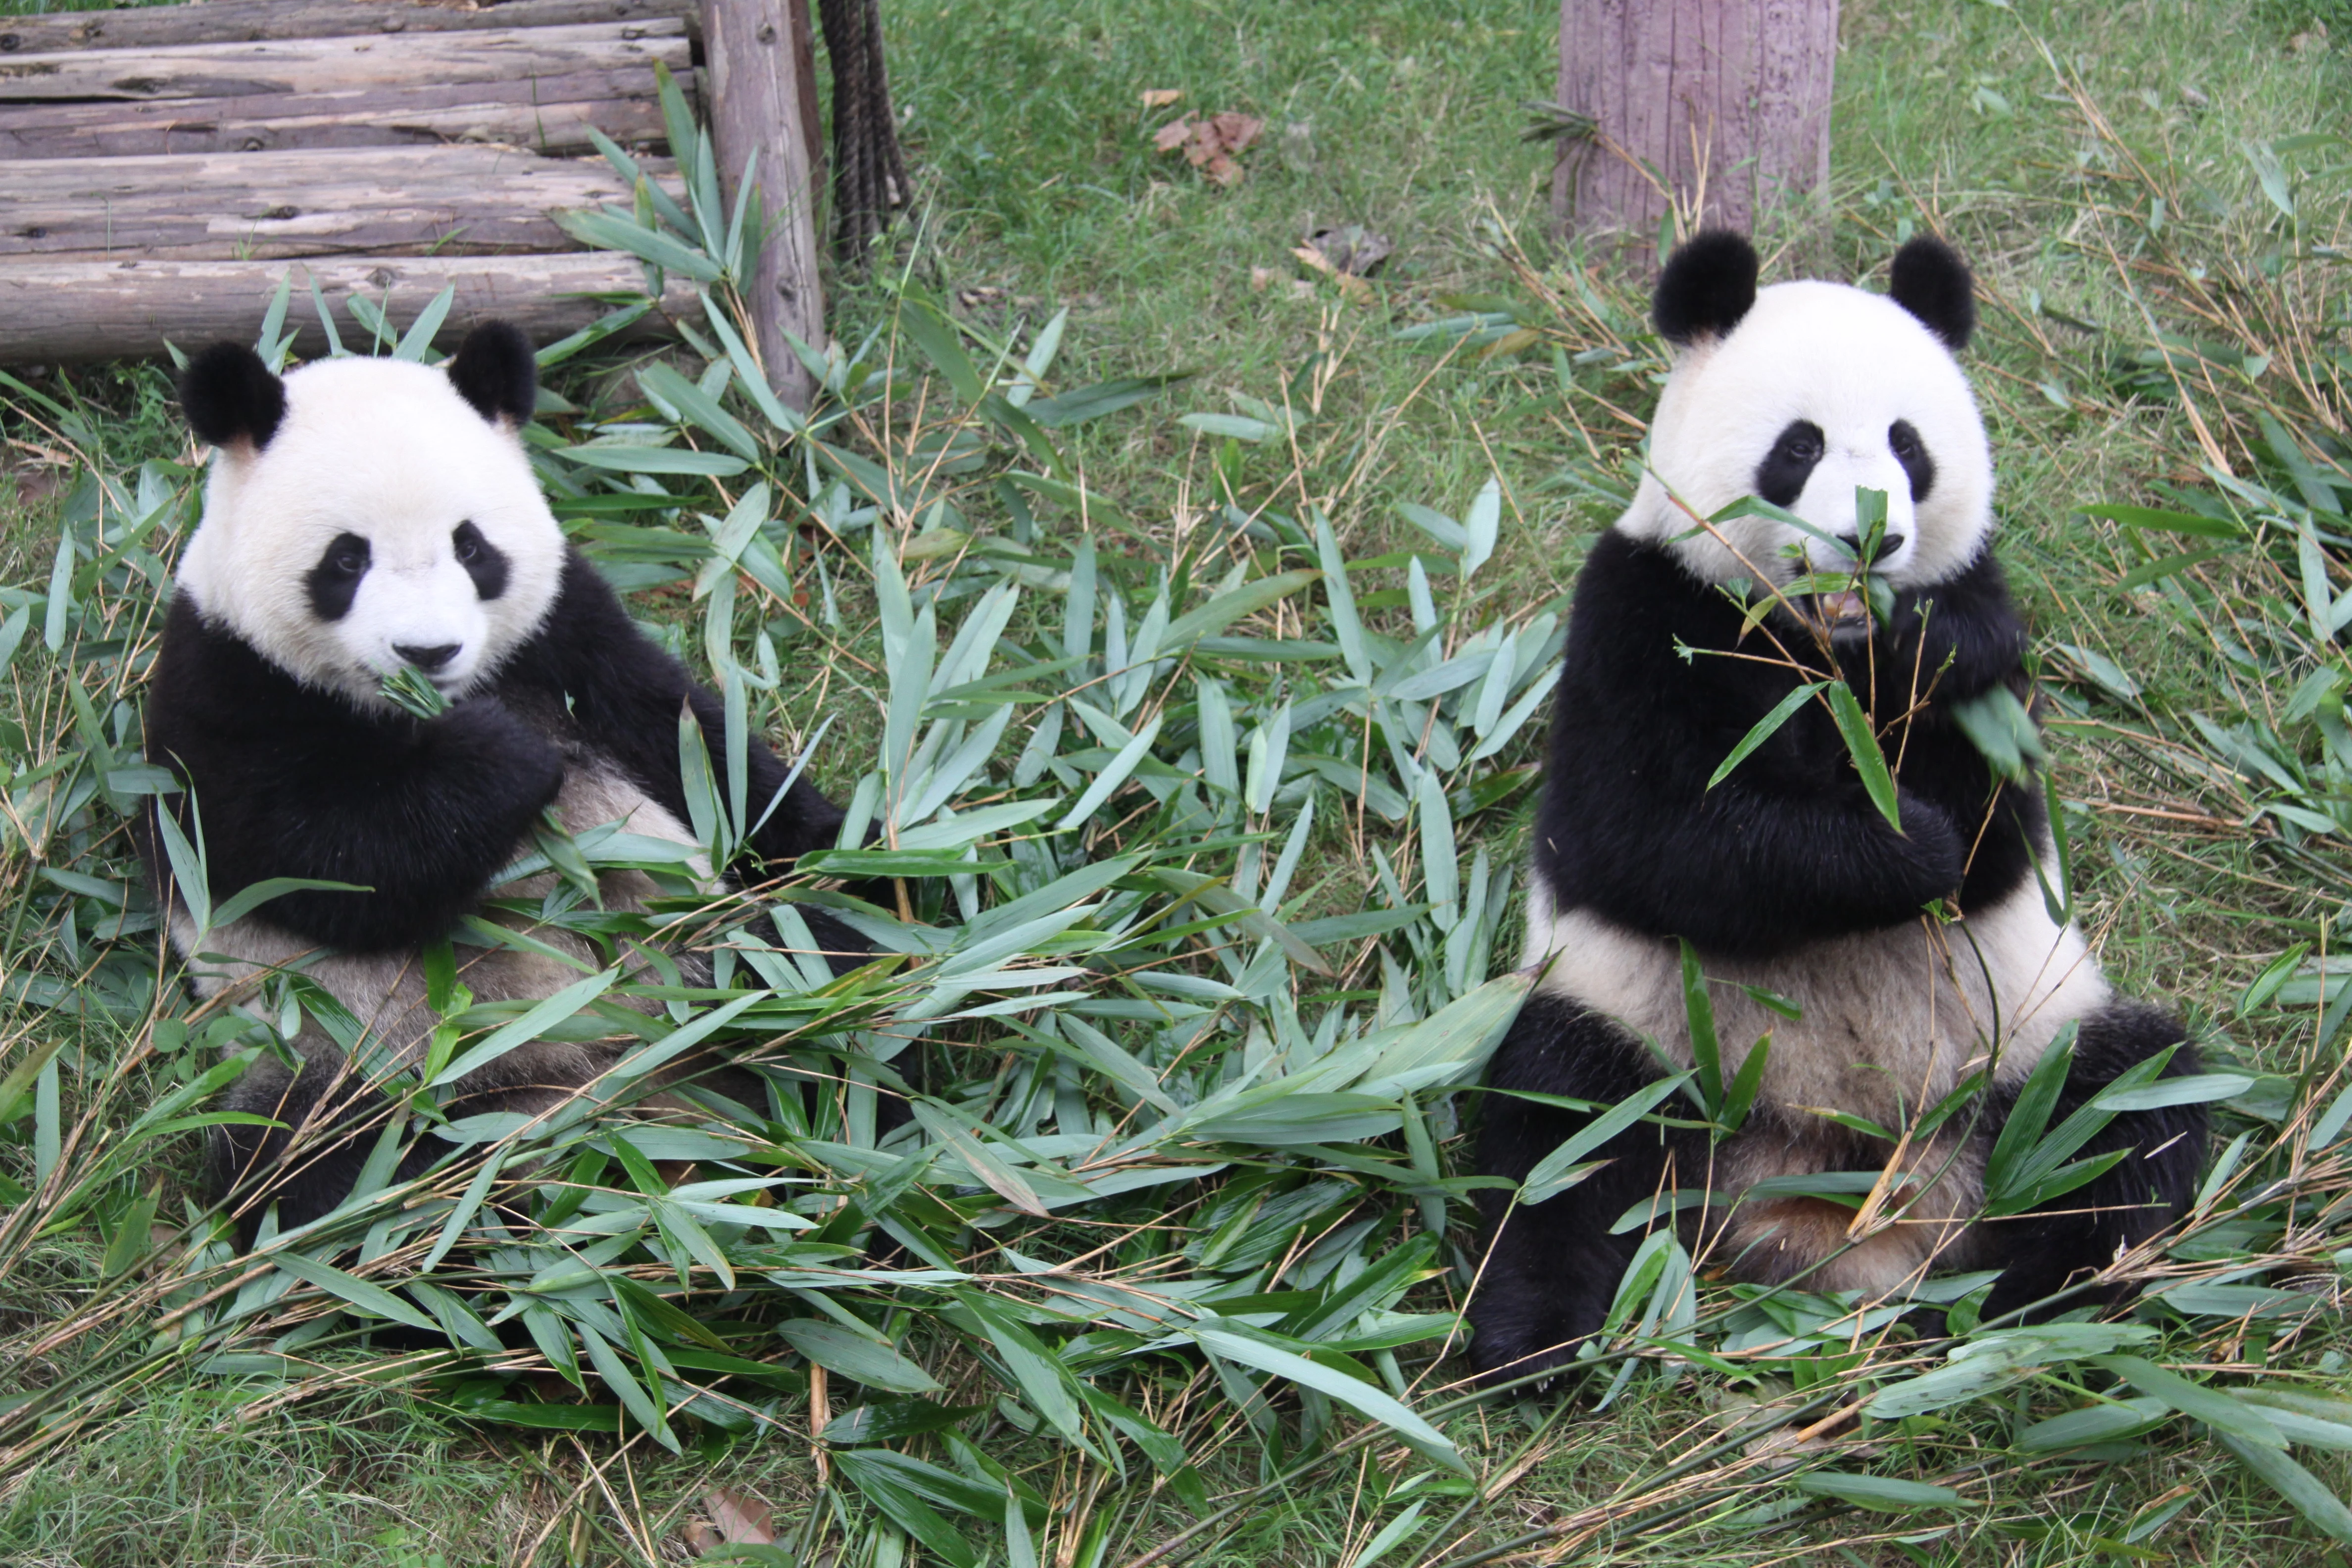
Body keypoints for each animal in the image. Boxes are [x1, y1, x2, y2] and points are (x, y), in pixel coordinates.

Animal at [147, 322, 862, 1239]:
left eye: (471, 546)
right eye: (346, 559)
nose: (428, 652)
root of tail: (596, 1083)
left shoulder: (564, 632)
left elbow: (695, 743)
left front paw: (841, 840)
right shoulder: (218, 684)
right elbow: (315, 860)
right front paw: (505, 754)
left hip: (706, 957)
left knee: (822, 966)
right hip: (345, 1048)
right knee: (296, 1163)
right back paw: (437, 1208)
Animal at [1468, 233, 2205, 1383]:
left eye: (1909, 446)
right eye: (1799, 447)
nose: (1876, 542)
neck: (1828, 644)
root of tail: (1829, 1192)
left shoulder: (1993, 647)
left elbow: (2004, 830)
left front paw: (1930, 661)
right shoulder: (1641, 608)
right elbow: (1646, 840)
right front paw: (1899, 848)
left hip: (2026, 1045)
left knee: (2126, 1111)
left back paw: (2034, 1308)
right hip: (1648, 1032)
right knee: (1558, 1133)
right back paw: (1531, 1338)